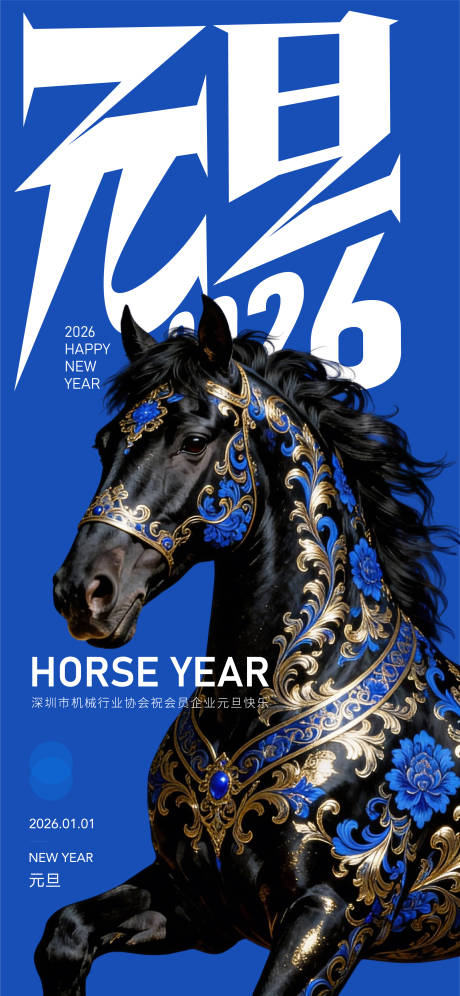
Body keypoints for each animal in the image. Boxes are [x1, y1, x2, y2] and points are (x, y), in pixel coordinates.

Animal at [36, 296, 460, 996]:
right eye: (104, 444)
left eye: (193, 442)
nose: (82, 592)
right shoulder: (199, 904)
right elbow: (64, 935)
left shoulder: (334, 918)